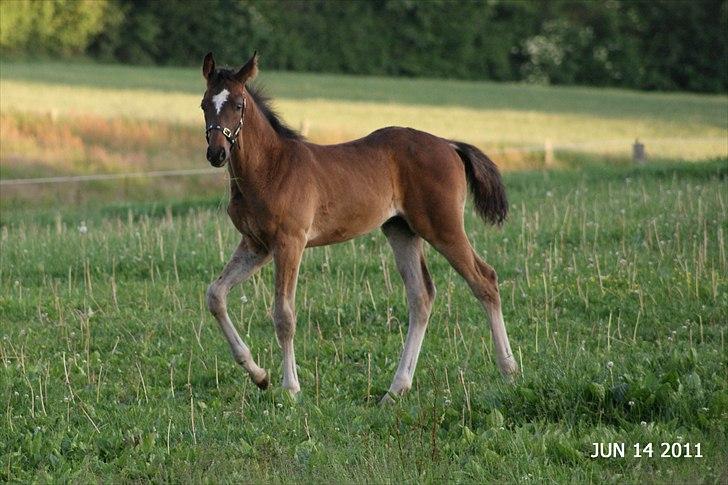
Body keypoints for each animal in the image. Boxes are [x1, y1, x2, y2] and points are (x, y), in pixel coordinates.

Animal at [199, 52, 516, 400]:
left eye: (238, 104)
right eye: (204, 104)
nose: (217, 153)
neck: (269, 169)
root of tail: (449, 144)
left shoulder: (289, 242)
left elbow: (284, 315)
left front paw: (291, 388)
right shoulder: (256, 245)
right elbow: (215, 294)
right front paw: (259, 375)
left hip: (442, 226)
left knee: (484, 279)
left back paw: (509, 370)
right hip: (401, 230)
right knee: (421, 297)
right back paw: (395, 390)